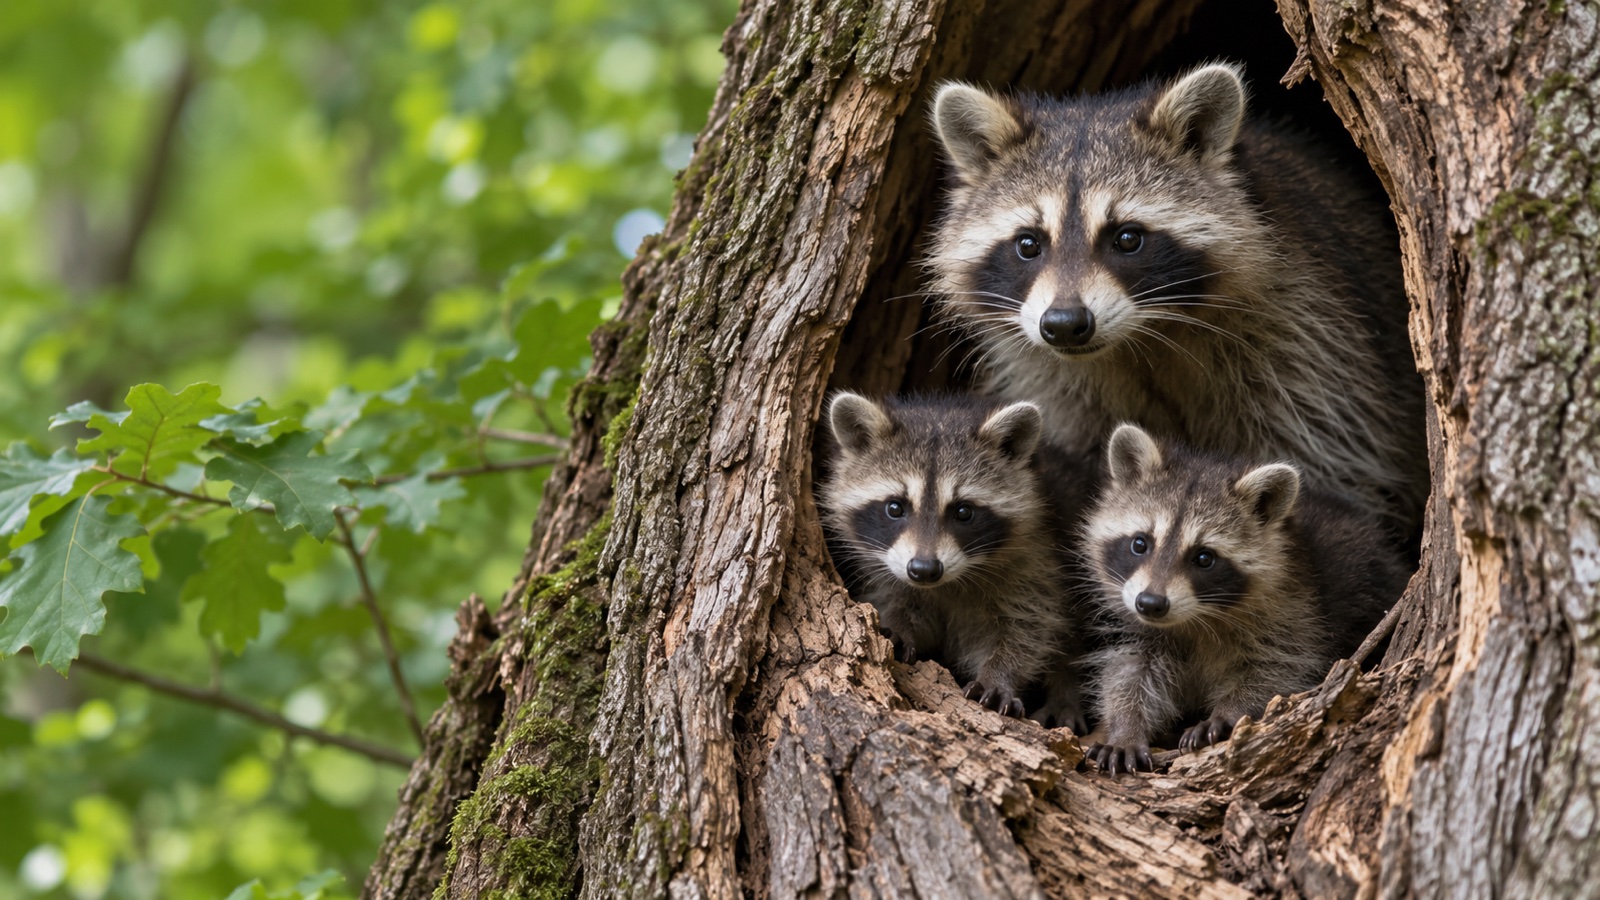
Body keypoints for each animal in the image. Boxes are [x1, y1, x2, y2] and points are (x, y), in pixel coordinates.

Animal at [819, 392, 1087, 721]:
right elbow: (895, 598)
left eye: (963, 512)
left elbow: (1029, 626)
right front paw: (897, 624)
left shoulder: (1039, 558)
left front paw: (1000, 675)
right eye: (895, 507)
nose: (924, 569)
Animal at [926, 63, 1426, 535]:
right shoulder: (1054, 384)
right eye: (1028, 245)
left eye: (1128, 239)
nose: (1065, 323)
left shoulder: (1309, 347)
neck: (1141, 339)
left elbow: (1324, 464)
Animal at [1082, 424, 1406, 775]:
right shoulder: (1139, 626)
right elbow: (1130, 672)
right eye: (1140, 543)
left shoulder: (1296, 612)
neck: (1195, 619)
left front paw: (1229, 712)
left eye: (1204, 558)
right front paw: (1125, 728)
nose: (1151, 603)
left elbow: (1276, 670)